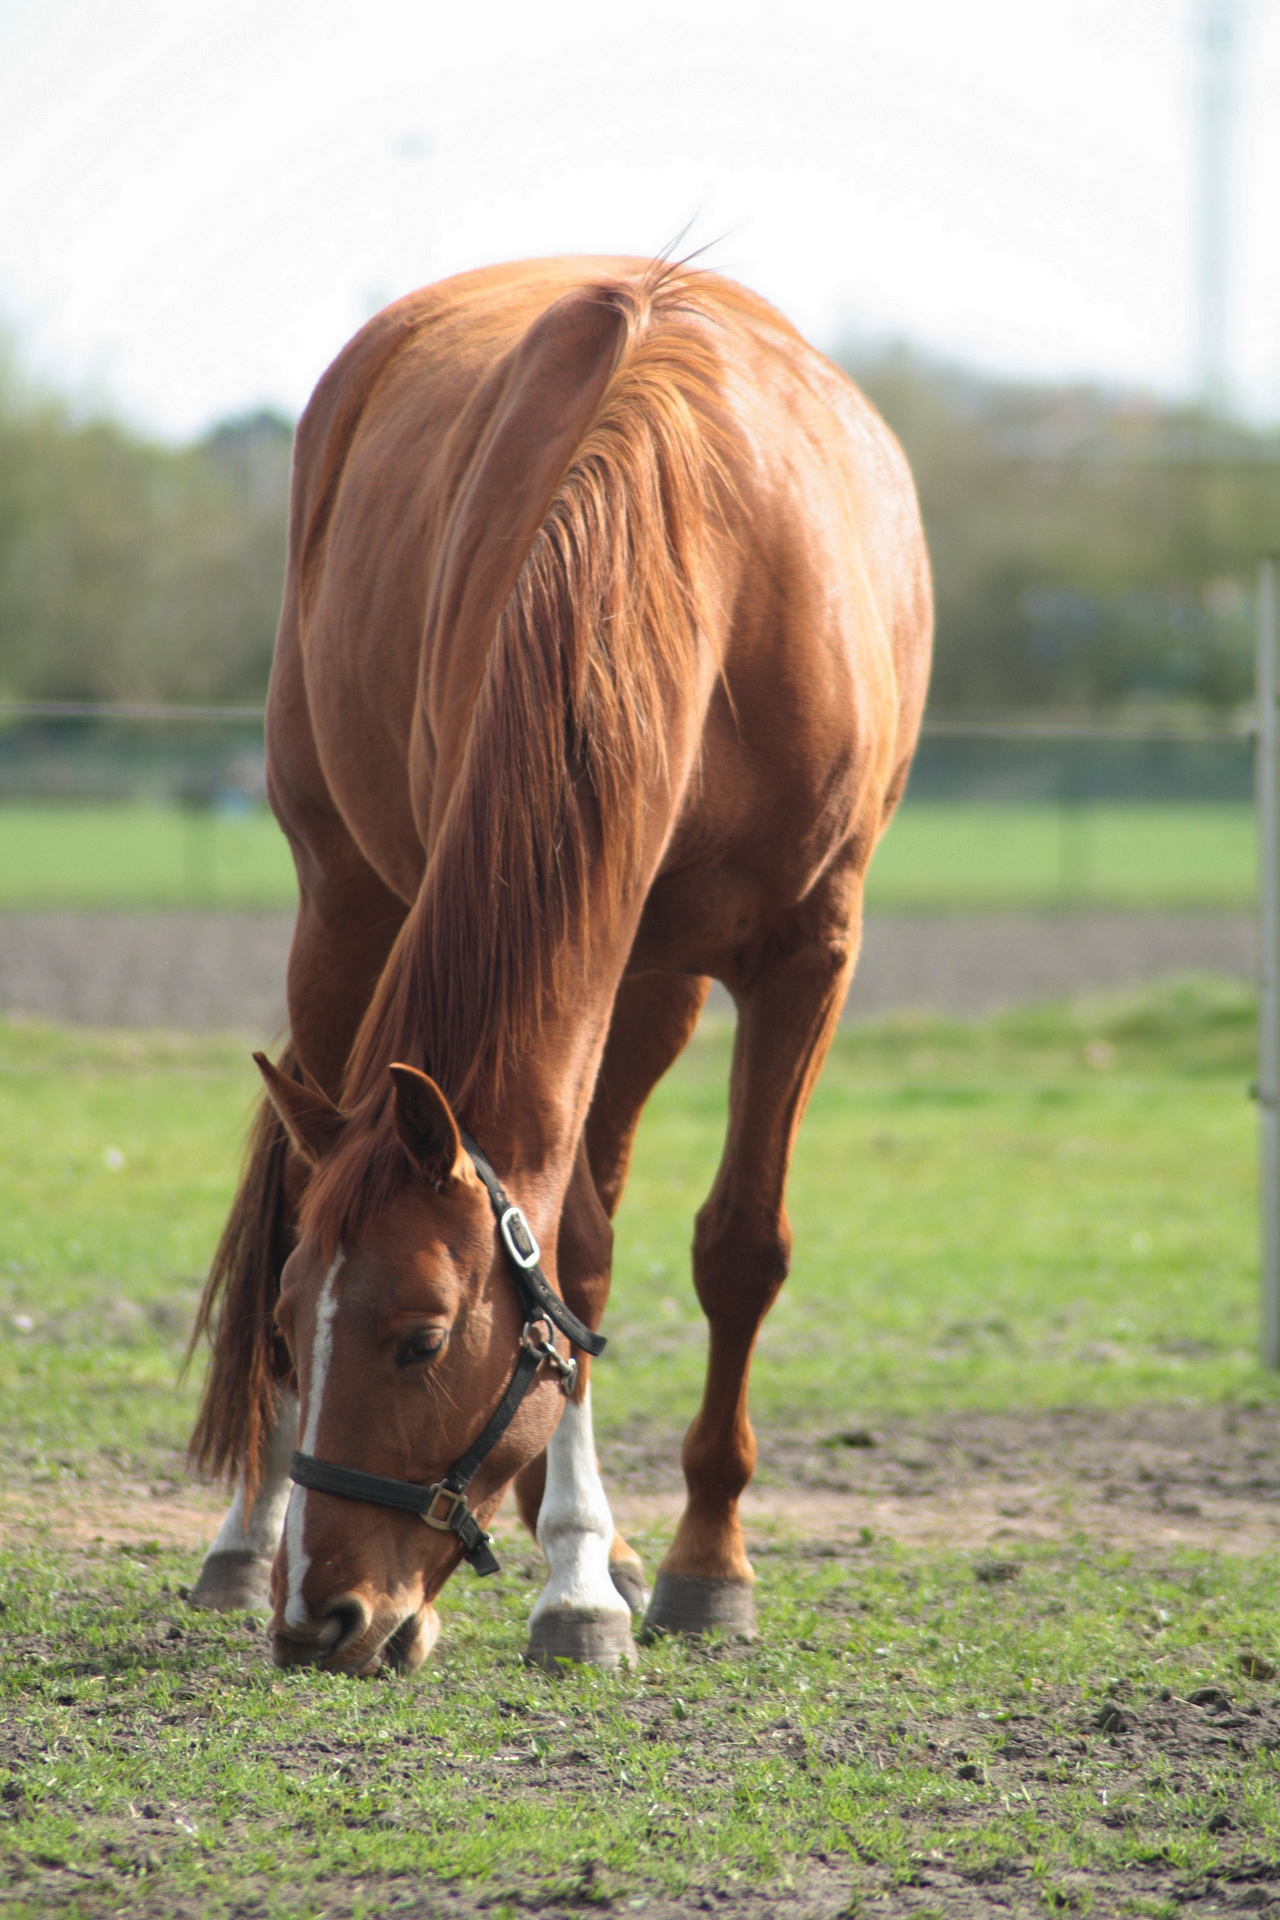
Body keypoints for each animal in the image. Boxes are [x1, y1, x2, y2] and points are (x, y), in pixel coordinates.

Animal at [185, 255, 932, 1666]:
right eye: (293, 1328)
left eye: (420, 1340)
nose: (321, 1617)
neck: (703, 545)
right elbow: (571, 1256)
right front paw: (578, 1575)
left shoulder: (806, 952)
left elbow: (737, 1248)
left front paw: (698, 1563)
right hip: (351, 908)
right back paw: (250, 1538)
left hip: (655, 988)